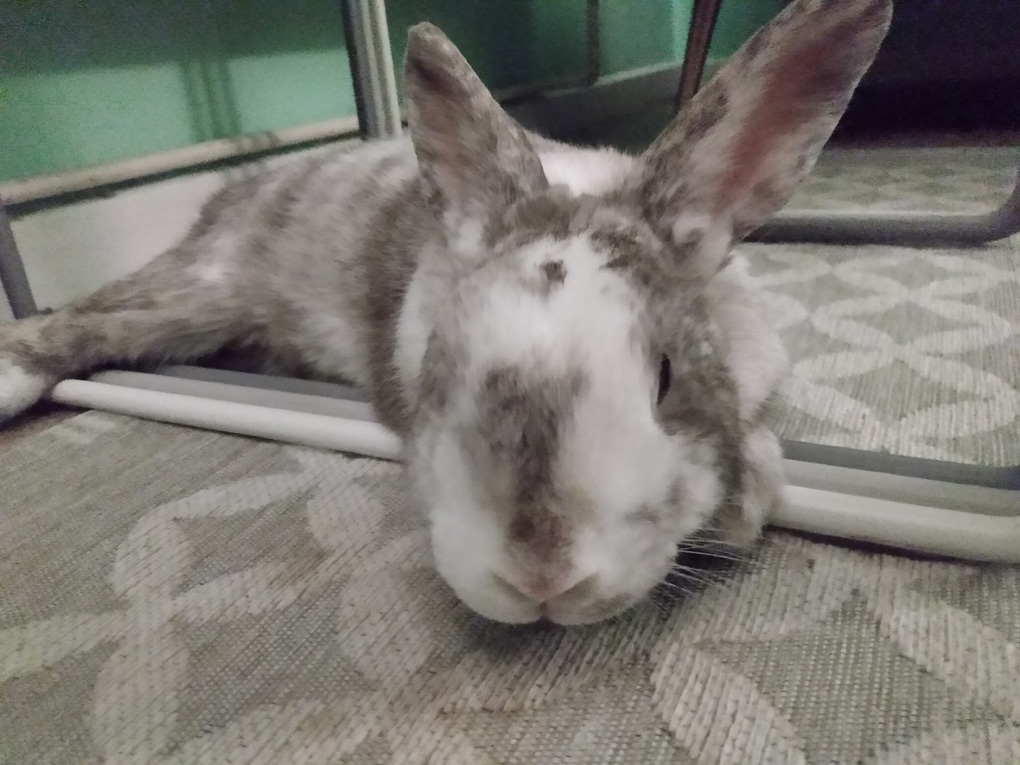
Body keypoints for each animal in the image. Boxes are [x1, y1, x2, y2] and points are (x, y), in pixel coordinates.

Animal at [0, 0, 893, 624]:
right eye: (441, 365)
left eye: (667, 378)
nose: (541, 574)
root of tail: (241, 189)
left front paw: (751, 491)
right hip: (201, 290)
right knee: (79, 320)